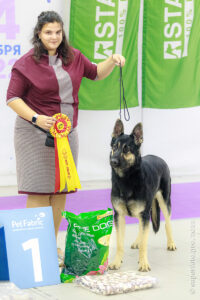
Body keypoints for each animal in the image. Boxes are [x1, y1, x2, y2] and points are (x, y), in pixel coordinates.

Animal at [108, 119, 176, 272]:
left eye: (126, 149)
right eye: (115, 147)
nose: (113, 161)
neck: (127, 179)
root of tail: (159, 158)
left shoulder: (143, 213)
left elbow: (145, 244)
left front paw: (143, 263)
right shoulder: (119, 215)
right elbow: (119, 243)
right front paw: (116, 261)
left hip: (164, 202)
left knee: (167, 223)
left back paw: (171, 243)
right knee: (143, 227)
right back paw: (137, 241)